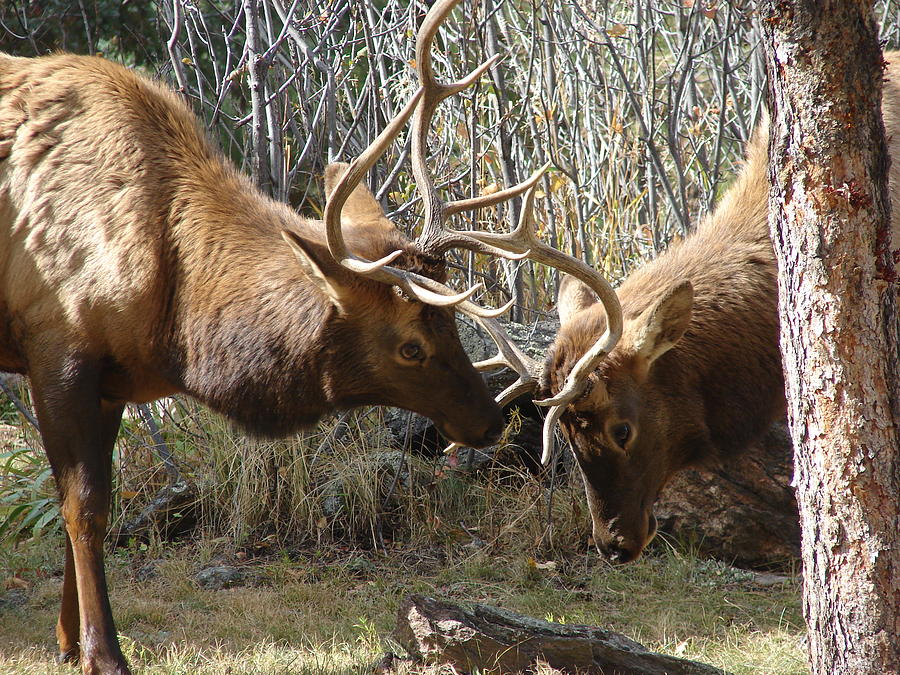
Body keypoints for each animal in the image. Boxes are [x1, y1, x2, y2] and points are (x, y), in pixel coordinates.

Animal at [0, 1, 620, 675]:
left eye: (451, 324)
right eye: (410, 346)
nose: (489, 421)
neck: (173, 319)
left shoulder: (111, 380)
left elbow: (84, 502)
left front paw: (66, 640)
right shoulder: (57, 345)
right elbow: (82, 506)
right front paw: (102, 652)